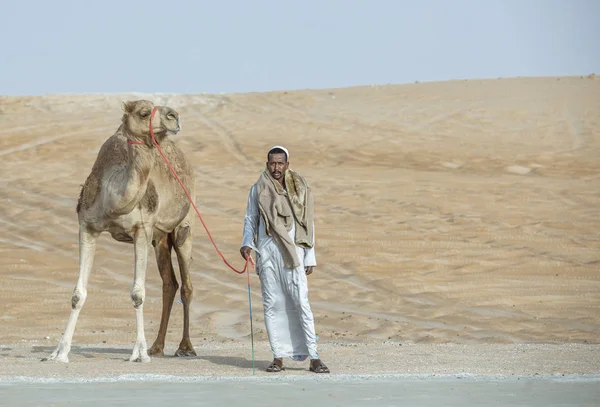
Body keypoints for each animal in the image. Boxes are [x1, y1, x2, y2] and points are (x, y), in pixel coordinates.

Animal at [43, 99, 197, 364]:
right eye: (144, 113)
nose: (174, 116)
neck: (113, 199)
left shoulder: (141, 230)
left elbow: (138, 293)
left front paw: (139, 353)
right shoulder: (87, 226)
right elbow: (77, 294)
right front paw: (60, 352)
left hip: (183, 225)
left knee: (186, 284)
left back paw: (184, 347)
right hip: (159, 238)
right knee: (169, 283)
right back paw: (157, 347)